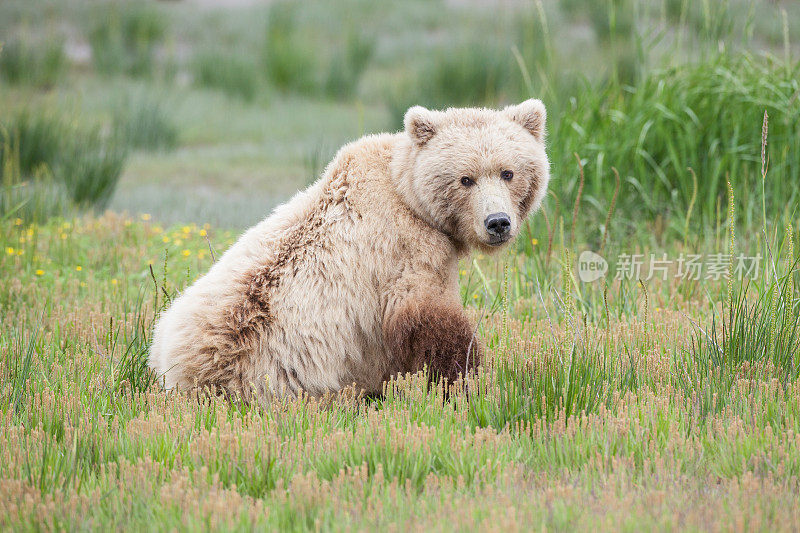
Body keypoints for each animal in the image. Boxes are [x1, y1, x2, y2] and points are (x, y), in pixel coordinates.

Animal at [148, 98, 552, 400]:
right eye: (465, 179)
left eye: (508, 172)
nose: (498, 222)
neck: (409, 197)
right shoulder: (406, 252)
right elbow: (432, 324)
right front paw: (469, 386)